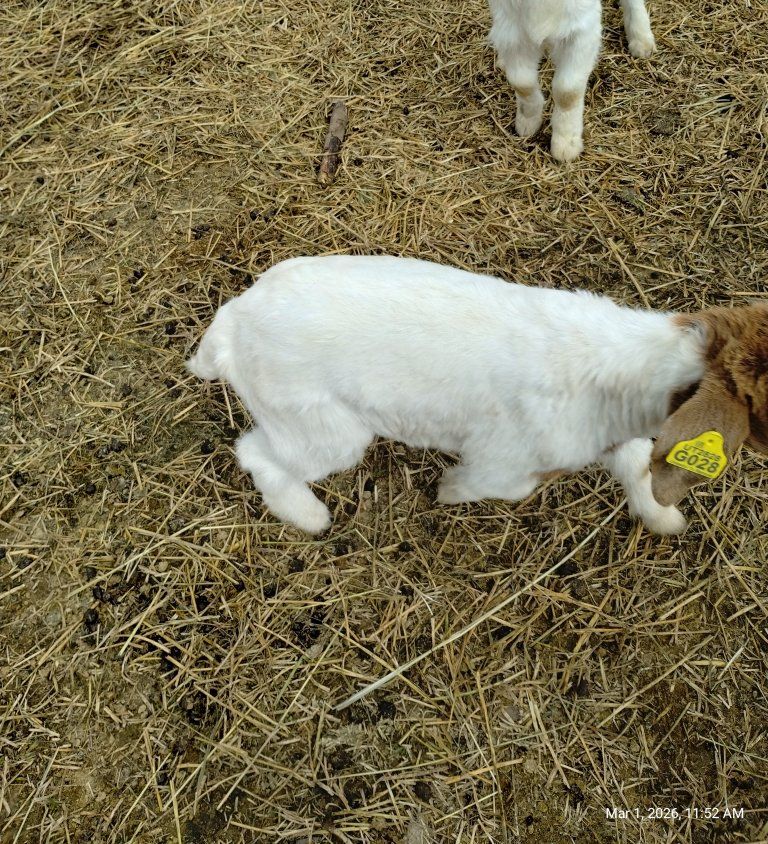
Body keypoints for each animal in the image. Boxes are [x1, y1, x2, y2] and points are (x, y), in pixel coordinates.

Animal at [187, 255, 768, 535]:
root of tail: (231, 324)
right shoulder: (505, 462)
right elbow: (494, 486)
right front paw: (448, 492)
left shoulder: (618, 434)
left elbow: (637, 467)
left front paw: (663, 519)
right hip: (320, 427)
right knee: (257, 453)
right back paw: (309, 517)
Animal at [487, 0, 655, 161]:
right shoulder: (511, 32)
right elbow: (522, 83)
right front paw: (527, 122)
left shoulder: (582, 32)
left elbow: (568, 92)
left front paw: (566, 144)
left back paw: (641, 39)